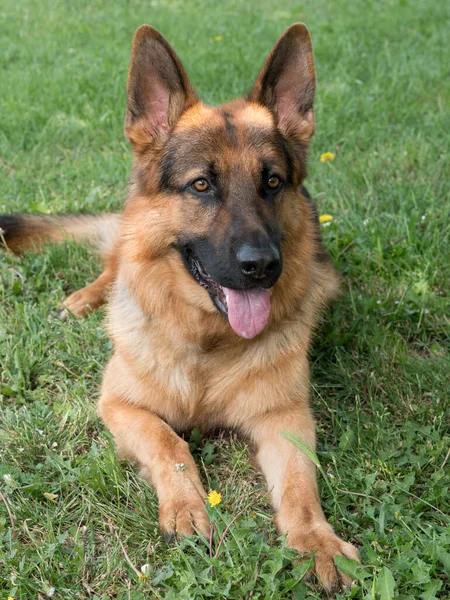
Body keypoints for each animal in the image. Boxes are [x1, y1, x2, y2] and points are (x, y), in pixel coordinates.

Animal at [0, 22, 358, 592]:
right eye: (201, 184)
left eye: (272, 182)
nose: (262, 265)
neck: (207, 343)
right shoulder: (120, 404)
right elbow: (171, 445)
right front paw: (187, 509)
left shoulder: (286, 418)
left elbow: (302, 486)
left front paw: (317, 542)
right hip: (127, 241)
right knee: (115, 261)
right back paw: (83, 299)